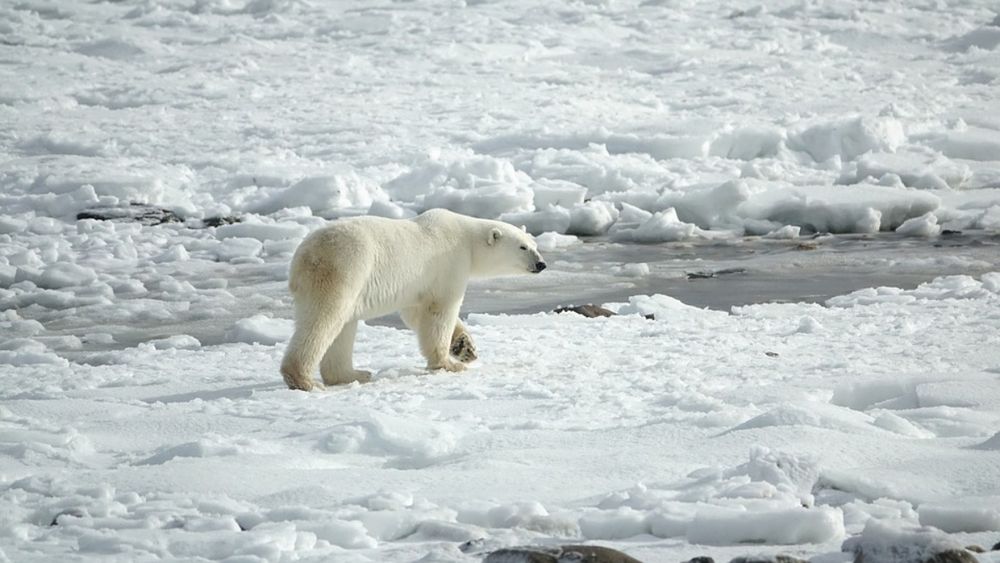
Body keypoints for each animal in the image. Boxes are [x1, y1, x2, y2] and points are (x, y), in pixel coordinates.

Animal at [280, 208, 547, 391]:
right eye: (523, 247)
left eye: (534, 244)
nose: (541, 264)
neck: (467, 238)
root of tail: (302, 257)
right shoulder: (449, 264)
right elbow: (440, 311)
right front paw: (449, 363)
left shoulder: (418, 285)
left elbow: (416, 313)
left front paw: (465, 348)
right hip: (344, 269)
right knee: (324, 320)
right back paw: (305, 380)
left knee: (343, 327)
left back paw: (354, 374)